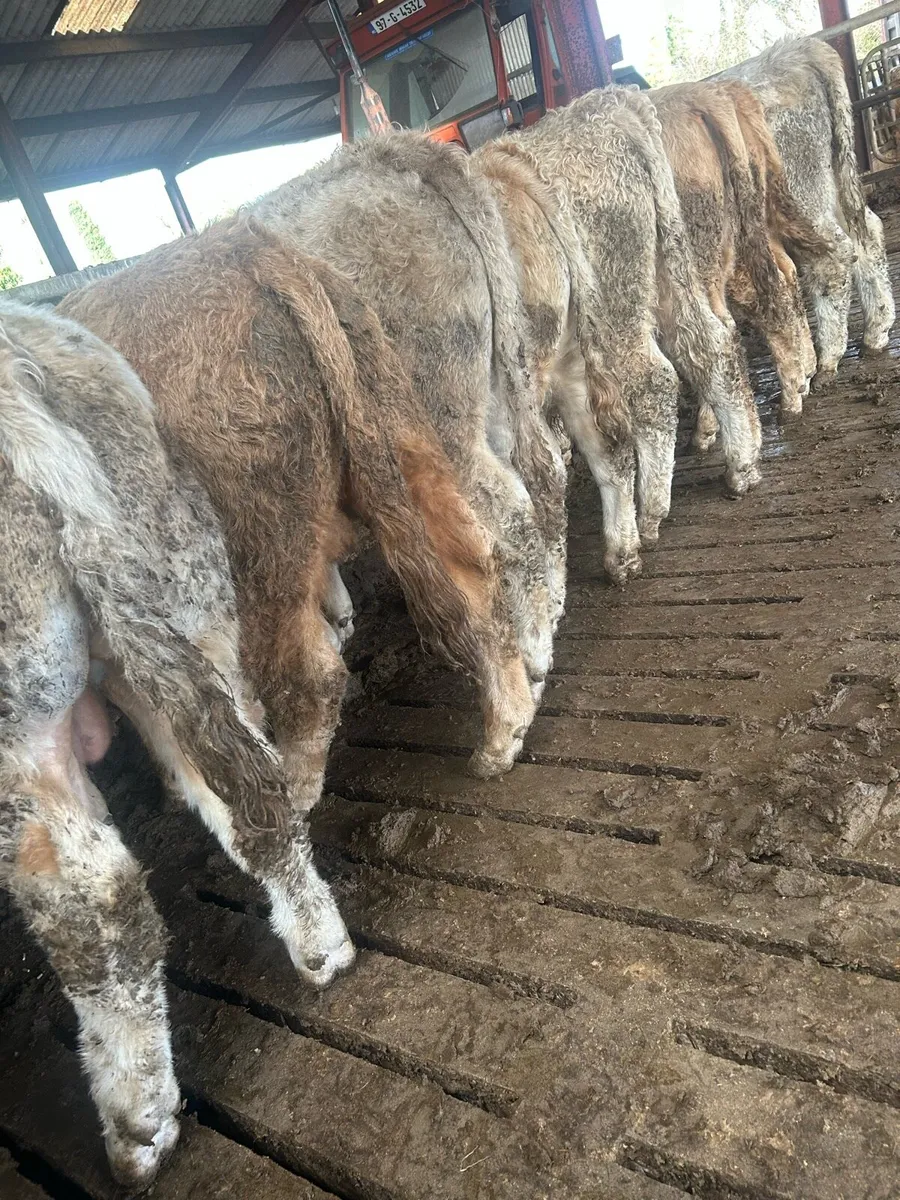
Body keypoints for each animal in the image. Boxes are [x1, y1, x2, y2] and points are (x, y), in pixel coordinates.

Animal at [0, 298, 354, 1189]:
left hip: (23, 719)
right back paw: (318, 941)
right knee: (248, 785)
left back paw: (135, 1115)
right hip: (176, 599)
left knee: (96, 898)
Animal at [62, 215, 534, 782]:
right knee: (474, 564)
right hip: (407, 446)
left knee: (307, 680)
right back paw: (503, 731)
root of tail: (240, 247)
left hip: (258, 553)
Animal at [725, 37, 895, 384]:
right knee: (866, 231)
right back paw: (876, 331)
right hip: (833, 185)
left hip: (801, 197)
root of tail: (798, 48)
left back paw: (828, 358)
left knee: (833, 258)